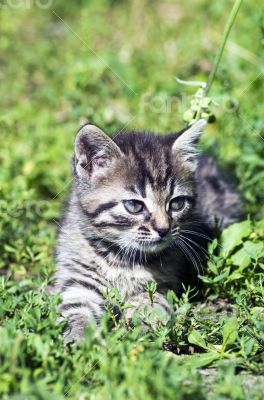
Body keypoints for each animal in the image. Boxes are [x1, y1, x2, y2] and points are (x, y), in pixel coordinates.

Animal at [55, 119, 243, 340]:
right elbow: (75, 308)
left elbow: (151, 303)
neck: (121, 257)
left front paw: (140, 330)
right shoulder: (78, 279)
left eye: (177, 203)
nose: (164, 229)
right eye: (134, 206)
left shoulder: (163, 283)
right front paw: (78, 337)